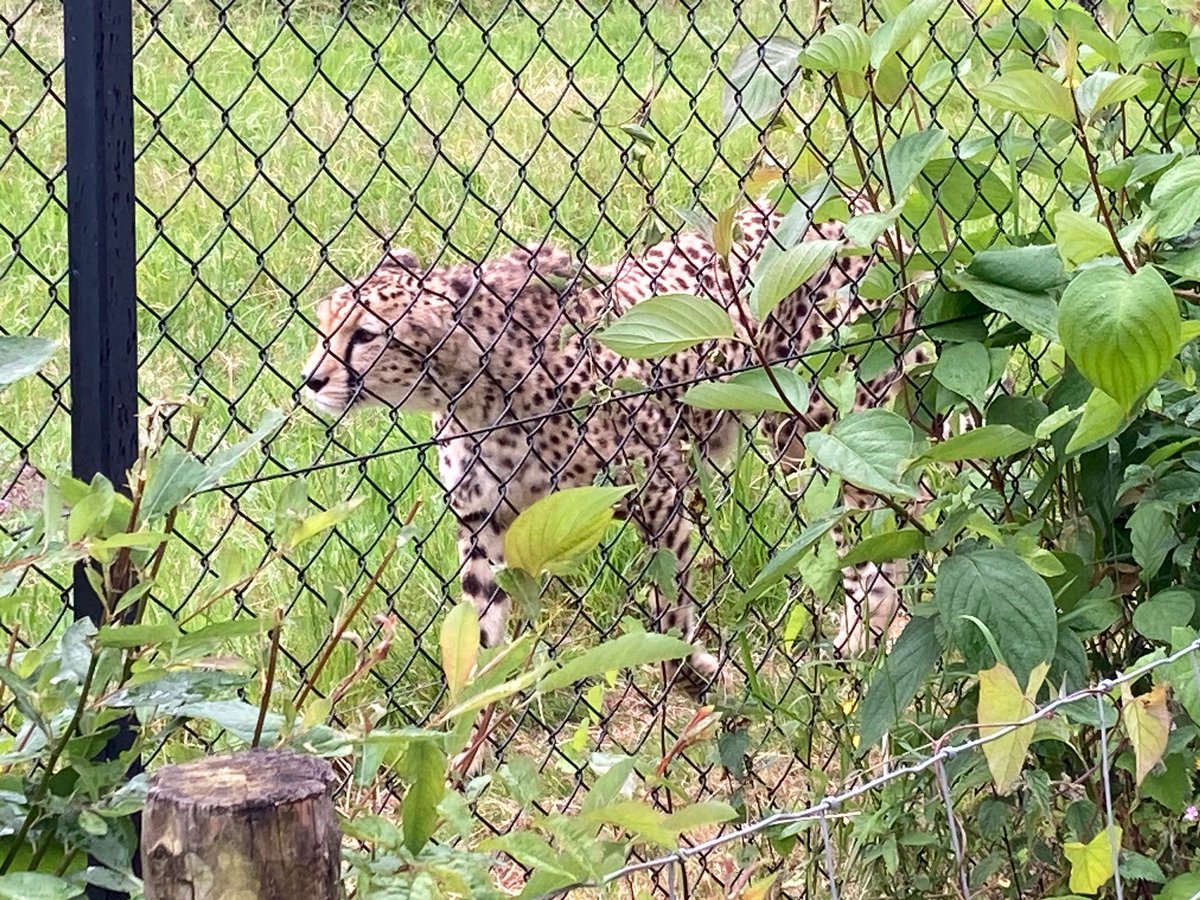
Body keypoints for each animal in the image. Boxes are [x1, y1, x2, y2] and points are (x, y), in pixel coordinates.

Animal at [300, 193, 927, 699]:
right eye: (323, 325)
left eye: (365, 333)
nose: (309, 380)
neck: (469, 384)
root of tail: (857, 208)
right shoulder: (484, 521)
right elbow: (478, 628)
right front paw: (467, 720)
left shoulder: (658, 490)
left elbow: (668, 609)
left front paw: (693, 679)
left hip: (818, 423)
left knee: (893, 515)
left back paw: (868, 637)